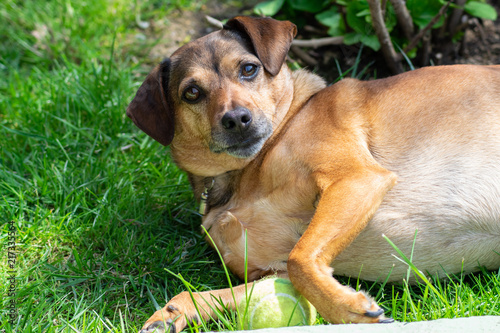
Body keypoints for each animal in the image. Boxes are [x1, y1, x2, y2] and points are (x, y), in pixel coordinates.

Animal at [126, 14, 500, 330]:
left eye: (248, 69)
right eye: (192, 93)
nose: (237, 119)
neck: (245, 174)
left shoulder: (356, 178)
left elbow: (301, 258)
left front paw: (347, 310)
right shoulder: (268, 272)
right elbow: (213, 294)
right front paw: (172, 313)